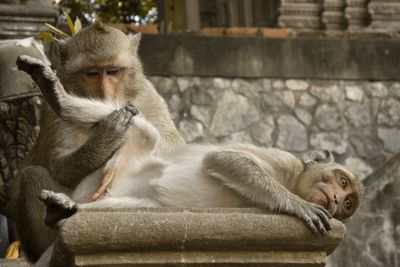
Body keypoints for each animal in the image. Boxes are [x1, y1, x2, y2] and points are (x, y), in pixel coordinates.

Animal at [3, 21, 184, 264]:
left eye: (113, 71)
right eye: (92, 73)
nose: (105, 94)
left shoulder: (148, 93)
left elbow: (175, 148)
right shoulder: (50, 112)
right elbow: (59, 166)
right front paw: (109, 134)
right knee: (31, 175)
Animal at [17, 55, 364, 242]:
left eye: (348, 203)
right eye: (341, 181)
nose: (336, 199)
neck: (294, 181)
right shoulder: (284, 163)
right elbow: (226, 159)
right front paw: (297, 204)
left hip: (121, 194)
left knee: (140, 206)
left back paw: (67, 208)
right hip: (116, 166)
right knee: (144, 132)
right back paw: (57, 95)